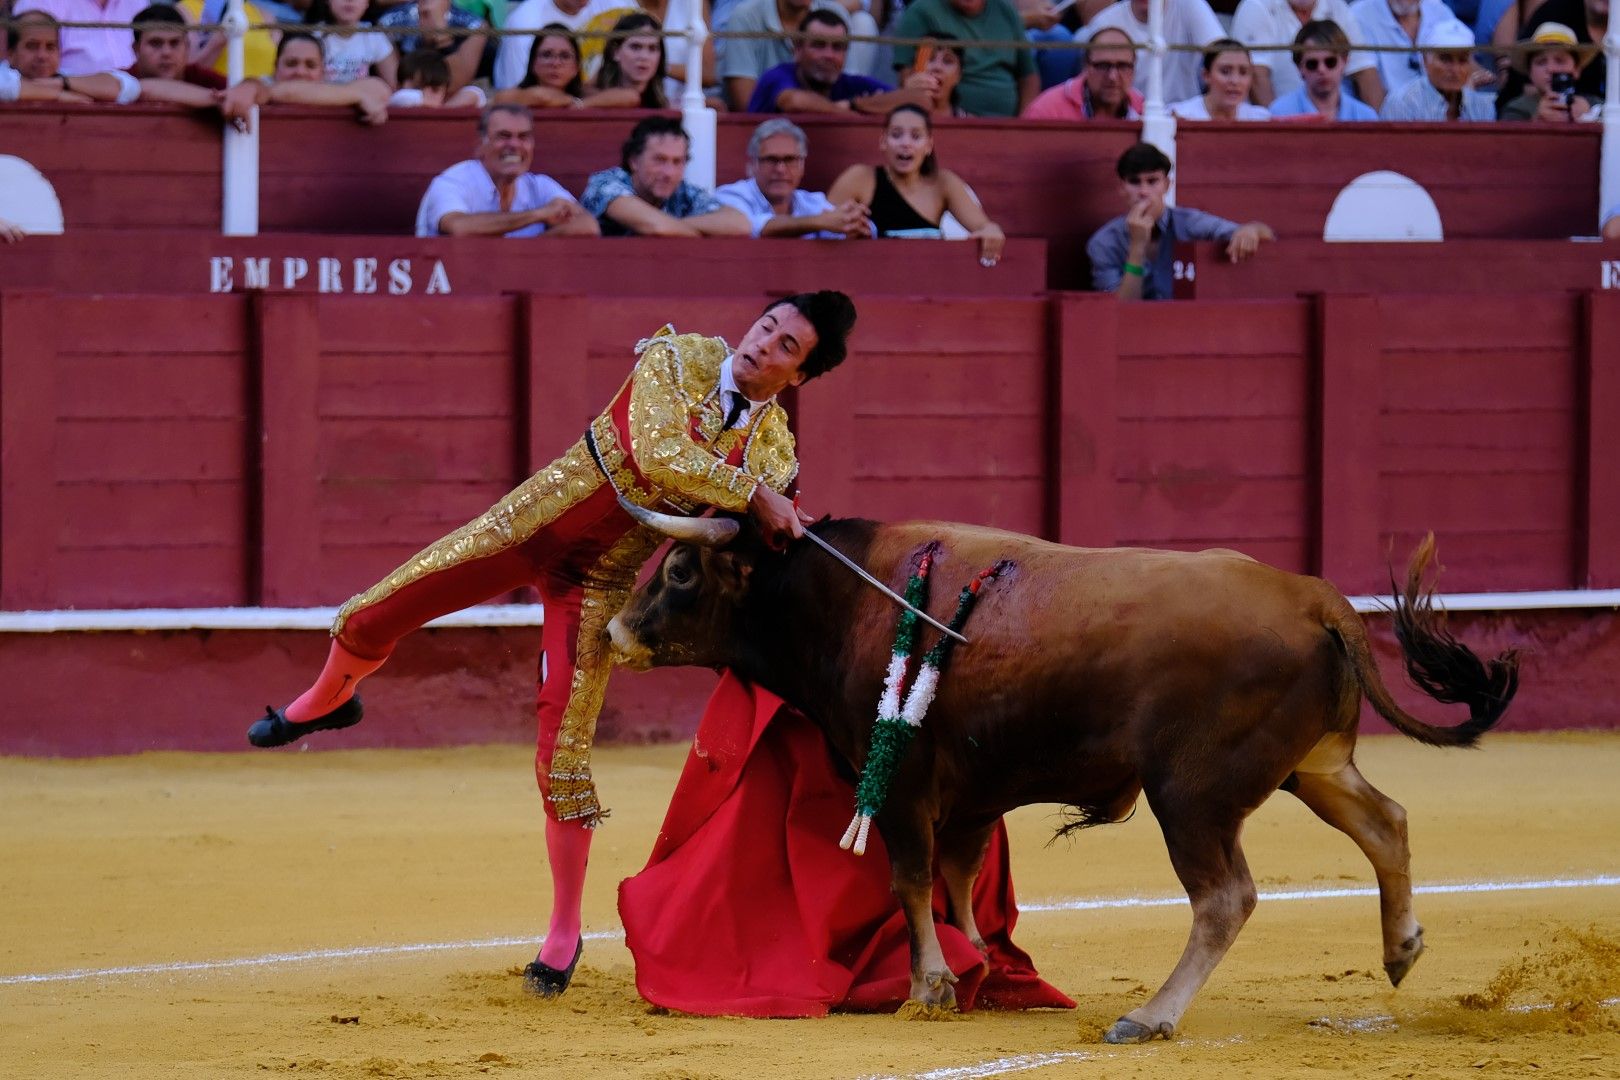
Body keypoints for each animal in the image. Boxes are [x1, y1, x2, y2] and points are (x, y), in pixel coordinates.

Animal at [605, 511, 1516, 1042]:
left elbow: (910, 878)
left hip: (1192, 796)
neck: (837, 599)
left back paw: (1151, 1016)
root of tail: (1317, 601)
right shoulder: (971, 791)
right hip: (1314, 765)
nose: (614, 630)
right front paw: (985, 966)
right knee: (1385, 820)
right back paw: (1401, 948)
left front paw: (931, 985)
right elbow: (959, 877)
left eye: (680, 571)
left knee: (1226, 897)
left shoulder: (903, 778)